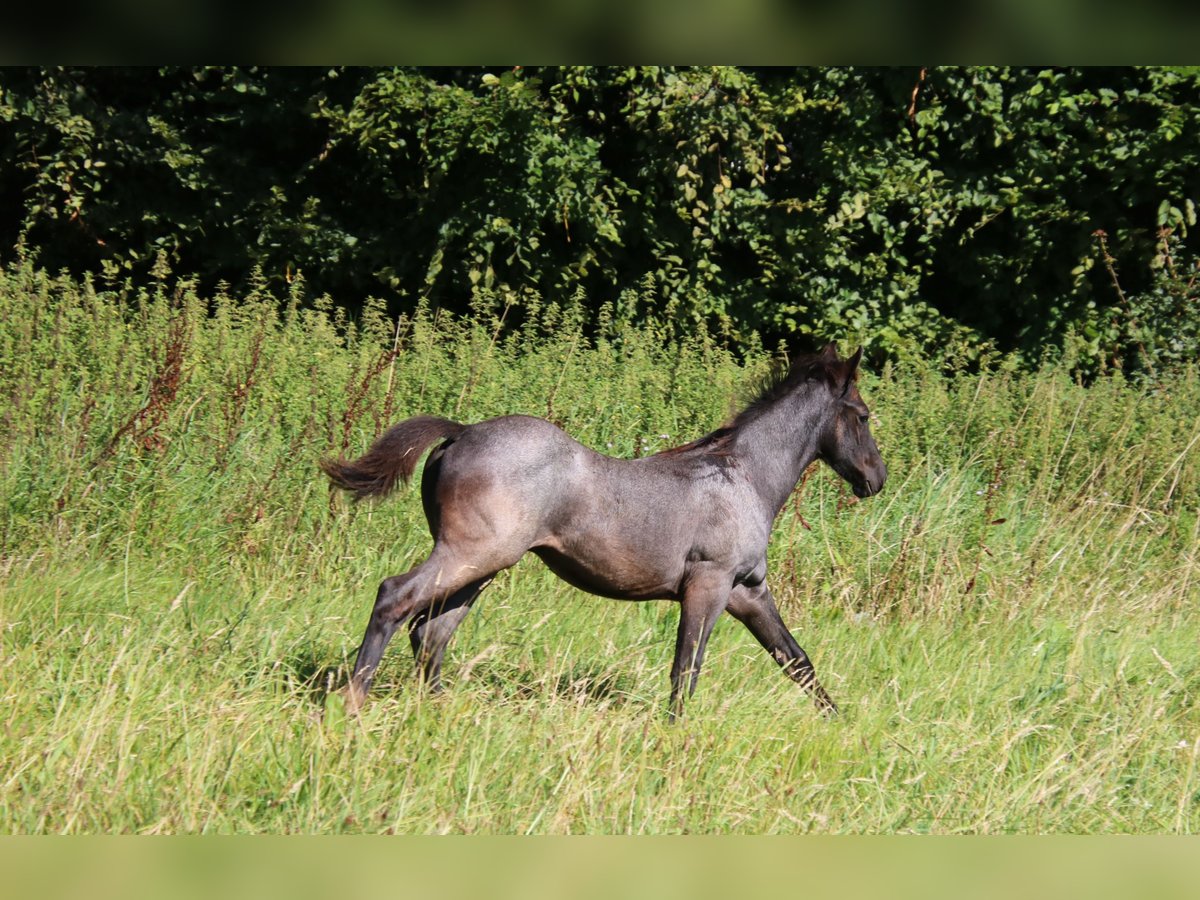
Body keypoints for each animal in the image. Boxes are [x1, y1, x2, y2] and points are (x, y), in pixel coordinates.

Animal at [324, 345, 888, 720]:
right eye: (862, 415)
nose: (876, 478)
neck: (744, 475)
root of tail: (460, 433)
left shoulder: (747, 590)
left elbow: (796, 660)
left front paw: (840, 725)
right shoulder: (708, 585)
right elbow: (687, 668)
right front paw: (674, 735)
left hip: (481, 565)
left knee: (432, 631)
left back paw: (442, 710)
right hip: (473, 553)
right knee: (396, 598)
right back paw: (352, 702)